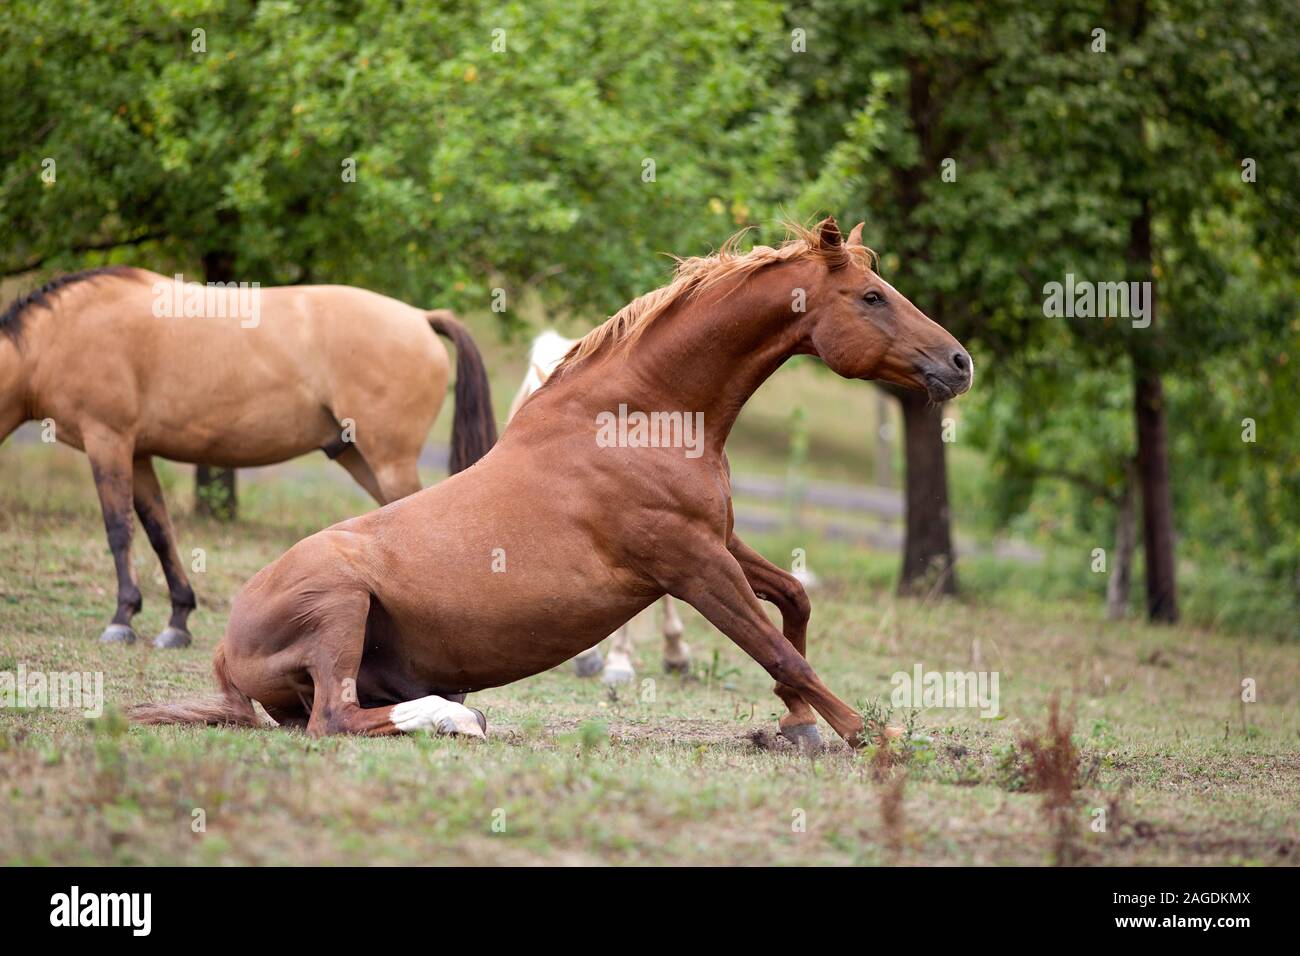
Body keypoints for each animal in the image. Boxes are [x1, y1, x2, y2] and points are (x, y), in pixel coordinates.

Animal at [0, 269, 496, 650]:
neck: (60, 333)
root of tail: (419, 317)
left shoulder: (108, 440)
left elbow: (118, 529)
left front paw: (122, 619)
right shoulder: (138, 454)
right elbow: (160, 533)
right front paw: (177, 621)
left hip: (389, 462)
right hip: (359, 458)